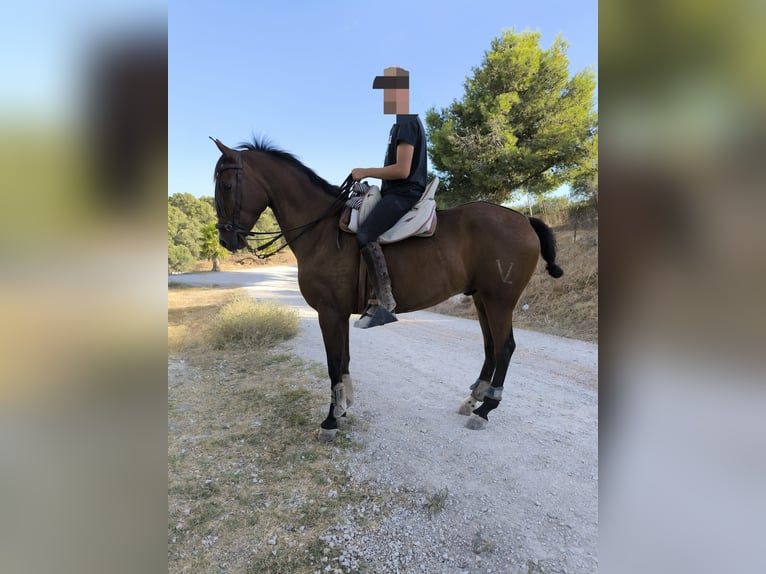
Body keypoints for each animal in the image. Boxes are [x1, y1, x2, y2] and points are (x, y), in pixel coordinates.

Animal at [211, 137, 564, 442]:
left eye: (226, 186)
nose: (226, 239)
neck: (321, 230)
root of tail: (524, 219)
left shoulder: (329, 313)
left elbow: (334, 364)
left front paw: (330, 421)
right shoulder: (338, 314)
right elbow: (344, 360)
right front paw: (342, 411)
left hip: (500, 300)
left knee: (504, 347)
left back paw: (486, 409)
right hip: (482, 298)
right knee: (491, 345)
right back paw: (474, 399)